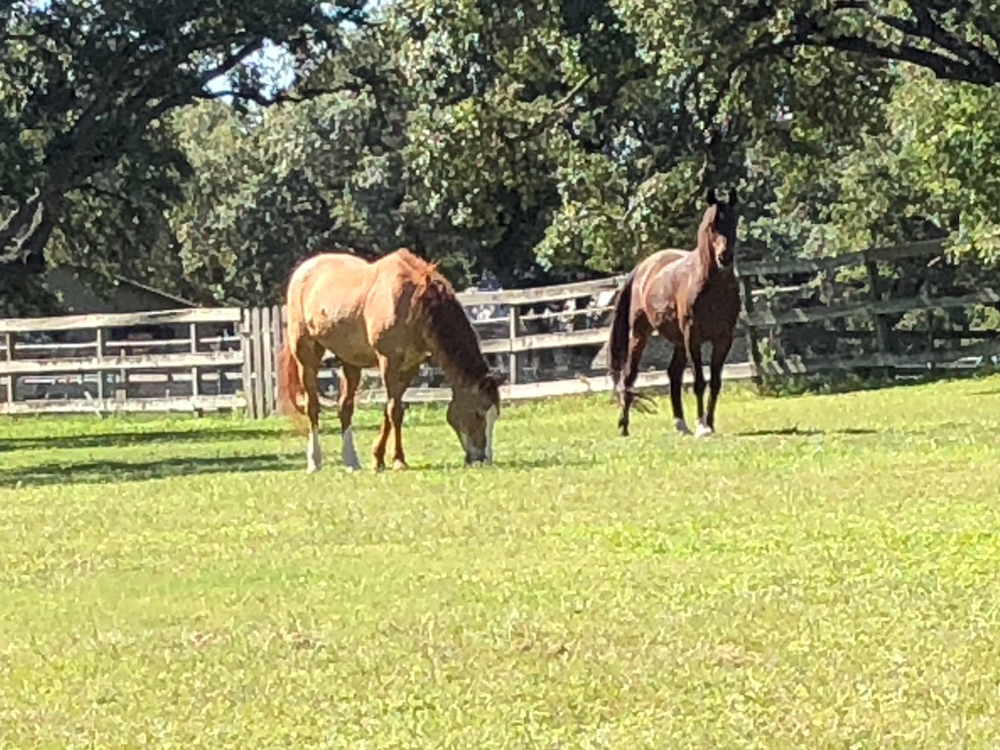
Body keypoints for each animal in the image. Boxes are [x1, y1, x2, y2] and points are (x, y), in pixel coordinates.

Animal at [278, 250, 504, 472]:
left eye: (495, 415)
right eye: (477, 414)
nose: (483, 459)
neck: (417, 304)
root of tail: (303, 269)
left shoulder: (410, 365)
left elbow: (390, 409)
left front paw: (378, 459)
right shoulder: (388, 361)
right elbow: (394, 411)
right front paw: (398, 460)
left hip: (350, 361)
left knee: (345, 407)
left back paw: (351, 461)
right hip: (306, 354)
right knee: (312, 406)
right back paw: (314, 461)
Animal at [604, 187, 740, 440]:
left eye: (734, 222)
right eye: (712, 225)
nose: (724, 258)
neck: (711, 286)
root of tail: (644, 267)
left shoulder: (723, 338)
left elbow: (715, 382)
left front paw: (710, 424)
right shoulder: (692, 337)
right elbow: (699, 381)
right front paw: (702, 426)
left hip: (678, 341)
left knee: (673, 374)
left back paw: (680, 424)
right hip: (641, 333)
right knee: (629, 375)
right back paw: (624, 426)